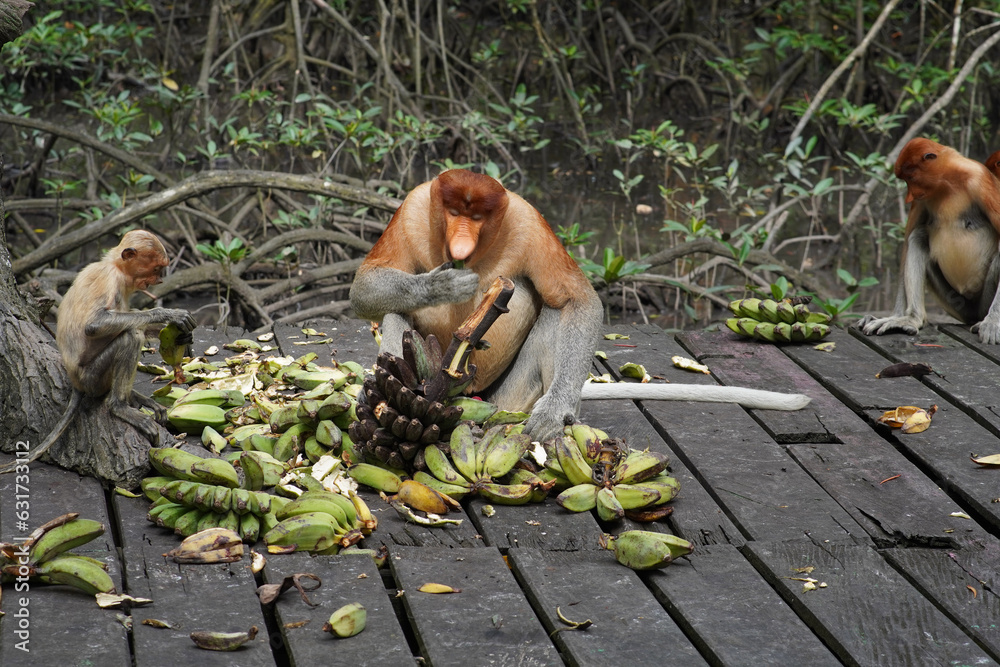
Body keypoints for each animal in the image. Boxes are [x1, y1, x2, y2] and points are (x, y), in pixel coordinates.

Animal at [1, 230, 196, 473]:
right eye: (156, 268)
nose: (159, 280)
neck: (114, 265)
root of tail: (76, 381)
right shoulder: (110, 279)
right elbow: (94, 325)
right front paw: (169, 314)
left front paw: (182, 336)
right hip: (92, 377)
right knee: (131, 336)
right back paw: (119, 406)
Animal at [349, 169, 810, 443]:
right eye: (451, 211)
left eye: (477, 216)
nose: (461, 240)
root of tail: (471, 397)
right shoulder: (413, 208)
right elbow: (364, 286)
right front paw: (442, 284)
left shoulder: (529, 222)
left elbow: (579, 300)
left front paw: (557, 412)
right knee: (395, 310)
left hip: (509, 395)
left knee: (554, 310)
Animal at [859, 138, 1000, 344]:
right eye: (905, 180)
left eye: (910, 178)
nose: (909, 196)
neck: (948, 182)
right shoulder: (922, 200)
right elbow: (907, 244)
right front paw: (896, 316)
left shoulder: (980, 180)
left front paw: (993, 324)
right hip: (956, 303)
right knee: (918, 237)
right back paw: (911, 319)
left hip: (982, 302)